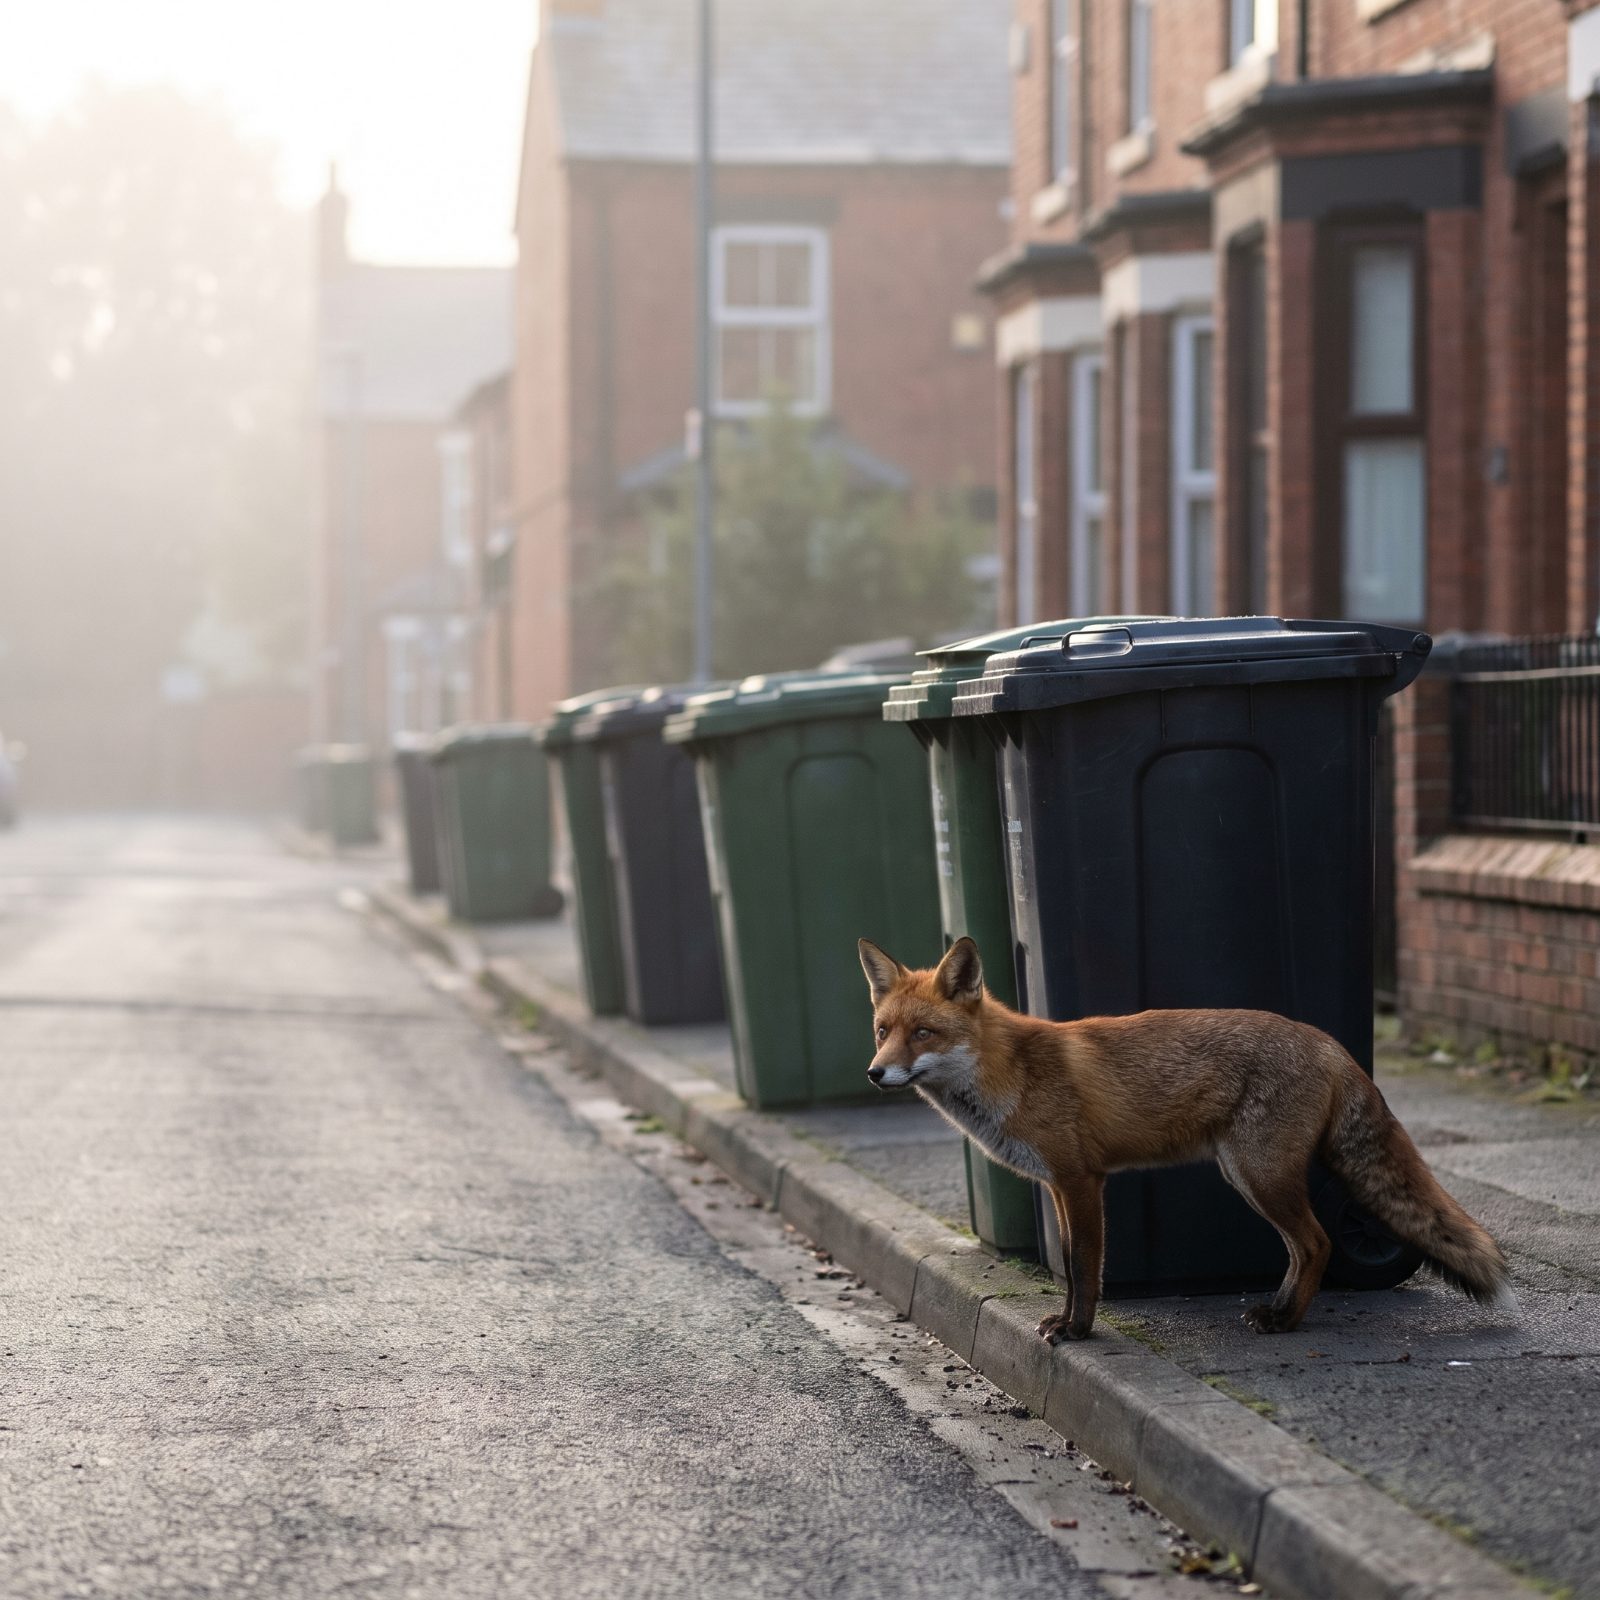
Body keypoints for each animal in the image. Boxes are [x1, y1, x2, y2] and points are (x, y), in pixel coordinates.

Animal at [858, 936, 1513, 1341]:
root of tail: (1330, 1042)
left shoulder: (1080, 1180)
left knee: (1320, 1242)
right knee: (1303, 1248)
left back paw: (1287, 1323)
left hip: (1260, 1176)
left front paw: (1078, 1332)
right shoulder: (1059, 1186)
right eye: (883, 1031)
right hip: (1246, 1176)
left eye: (924, 1033)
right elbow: (1069, 1262)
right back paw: (1276, 1311)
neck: (1011, 1071)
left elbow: (1083, 1265)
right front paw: (1067, 1323)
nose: (873, 1074)